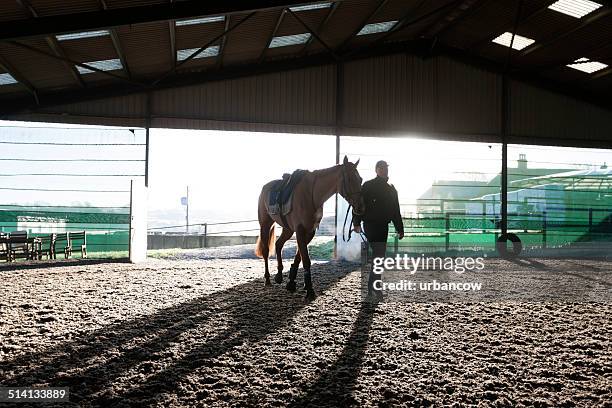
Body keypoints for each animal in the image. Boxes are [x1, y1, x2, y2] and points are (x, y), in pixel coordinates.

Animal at [253, 158, 364, 302]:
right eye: (350, 179)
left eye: (360, 179)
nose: (361, 207)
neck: (312, 195)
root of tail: (265, 187)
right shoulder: (300, 230)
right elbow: (305, 259)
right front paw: (310, 290)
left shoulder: (310, 231)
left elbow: (299, 257)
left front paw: (291, 282)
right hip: (265, 225)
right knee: (266, 251)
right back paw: (267, 279)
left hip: (288, 229)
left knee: (278, 244)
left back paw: (279, 275)